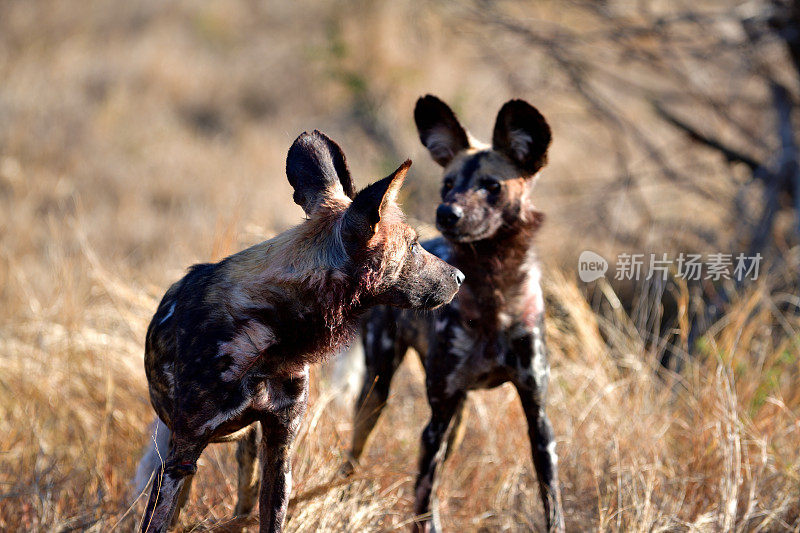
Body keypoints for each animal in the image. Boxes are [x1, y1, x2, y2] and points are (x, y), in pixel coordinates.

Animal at [134, 130, 466, 532]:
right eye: (415, 246)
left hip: (248, 448)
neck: (272, 336)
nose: (461, 277)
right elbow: (158, 519)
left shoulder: (280, 446)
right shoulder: (184, 452)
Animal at [342, 96, 564, 532]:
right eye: (448, 184)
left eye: (492, 186)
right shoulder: (436, 418)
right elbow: (424, 504)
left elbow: (553, 506)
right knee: (355, 452)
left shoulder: (538, 418)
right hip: (380, 390)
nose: (447, 213)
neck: (494, 298)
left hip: (457, 414)